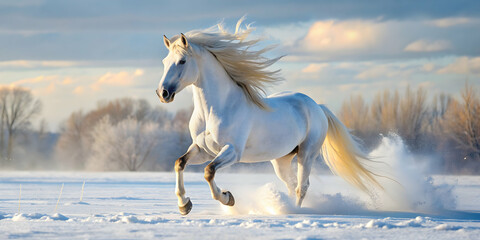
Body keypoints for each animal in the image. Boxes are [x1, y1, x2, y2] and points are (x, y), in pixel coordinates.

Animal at [158, 19, 382, 215]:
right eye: (164, 61)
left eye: (182, 61)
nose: (162, 93)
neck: (216, 109)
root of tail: (317, 106)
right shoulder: (202, 149)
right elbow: (179, 163)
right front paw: (184, 205)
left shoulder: (232, 151)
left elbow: (208, 171)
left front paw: (228, 198)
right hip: (282, 160)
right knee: (292, 184)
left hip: (307, 153)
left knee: (302, 186)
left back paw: (293, 211)